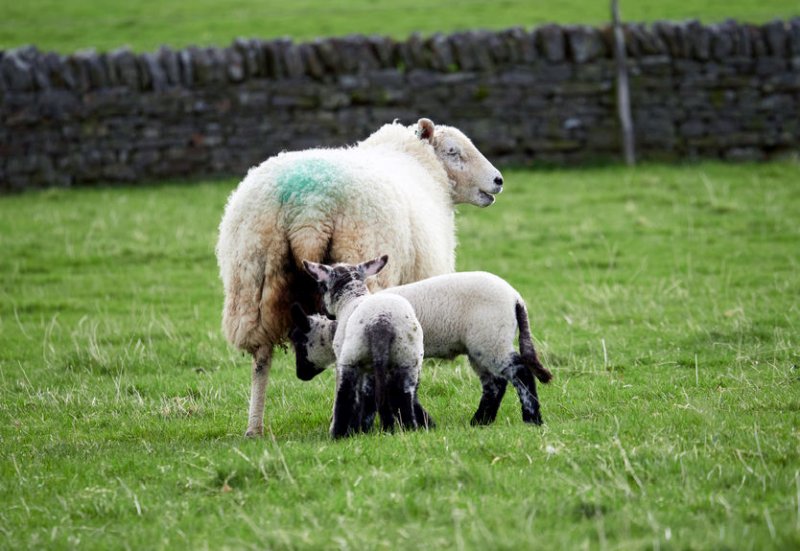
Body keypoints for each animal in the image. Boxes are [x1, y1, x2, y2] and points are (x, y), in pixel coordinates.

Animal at [290, 271, 553, 426]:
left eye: (299, 342)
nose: (300, 375)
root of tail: (516, 298)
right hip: (480, 345)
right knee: (494, 384)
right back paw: (479, 421)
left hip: (491, 339)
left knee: (519, 372)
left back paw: (531, 418)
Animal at [303, 255, 428, 438]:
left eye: (322, 286)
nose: (326, 312)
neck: (352, 297)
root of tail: (382, 322)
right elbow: (369, 397)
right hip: (407, 359)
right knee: (402, 397)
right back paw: (409, 428)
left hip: (352, 358)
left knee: (345, 395)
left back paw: (337, 434)